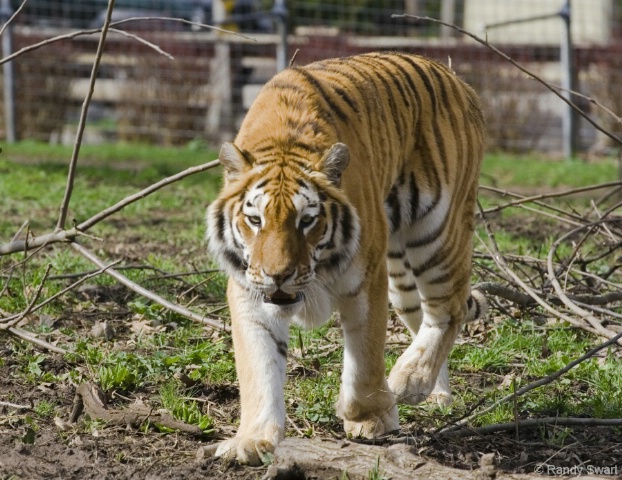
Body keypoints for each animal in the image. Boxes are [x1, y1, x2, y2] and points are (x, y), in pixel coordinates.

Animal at [207, 52, 490, 464]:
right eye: (255, 220)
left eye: (306, 220)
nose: (278, 275)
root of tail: (457, 78)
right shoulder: (250, 291)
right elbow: (258, 366)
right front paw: (252, 439)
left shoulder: (365, 280)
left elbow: (364, 360)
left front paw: (370, 417)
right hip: (400, 271)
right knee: (421, 316)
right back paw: (435, 392)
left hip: (438, 230)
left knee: (448, 308)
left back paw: (410, 380)